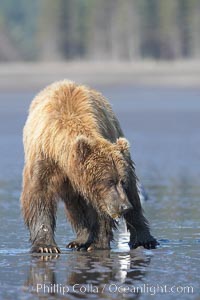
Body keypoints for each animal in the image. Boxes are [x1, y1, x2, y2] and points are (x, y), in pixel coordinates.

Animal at [20, 79, 158, 253]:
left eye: (122, 181)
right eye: (109, 181)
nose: (124, 206)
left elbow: (102, 208)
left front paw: (98, 243)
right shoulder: (44, 159)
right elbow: (39, 196)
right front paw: (46, 246)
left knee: (134, 196)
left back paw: (144, 239)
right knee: (75, 204)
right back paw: (80, 240)